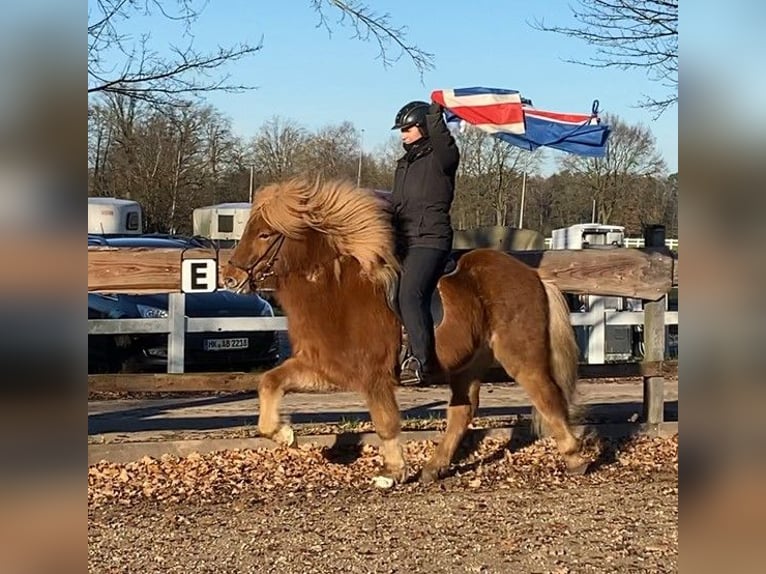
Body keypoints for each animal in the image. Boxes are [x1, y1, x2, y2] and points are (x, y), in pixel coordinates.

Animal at [224, 178, 592, 484]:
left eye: (264, 234)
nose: (230, 277)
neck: (333, 291)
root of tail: (534, 276)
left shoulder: (374, 377)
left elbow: (385, 422)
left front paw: (392, 472)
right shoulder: (323, 368)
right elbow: (269, 382)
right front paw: (284, 434)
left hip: (521, 355)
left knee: (547, 397)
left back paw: (575, 458)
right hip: (467, 363)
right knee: (463, 410)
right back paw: (434, 467)